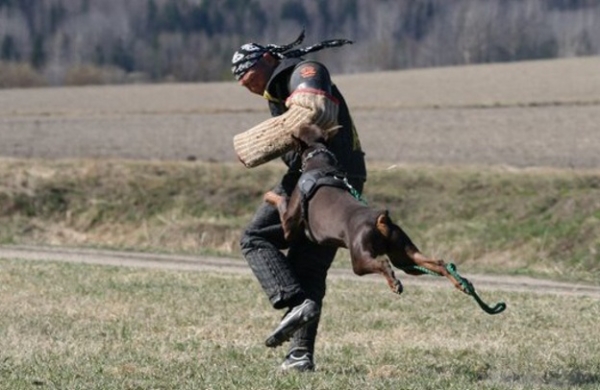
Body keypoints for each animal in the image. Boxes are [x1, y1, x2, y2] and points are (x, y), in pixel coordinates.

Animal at [264, 125, 466, 296]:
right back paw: (459, 282)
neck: (319, 161)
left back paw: (394, 284)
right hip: (404, 255)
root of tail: (381, 219)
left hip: (360, 259)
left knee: (383, 264)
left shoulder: (289, 223)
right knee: (436, 263)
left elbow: (281, 201)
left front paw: (269, 194)